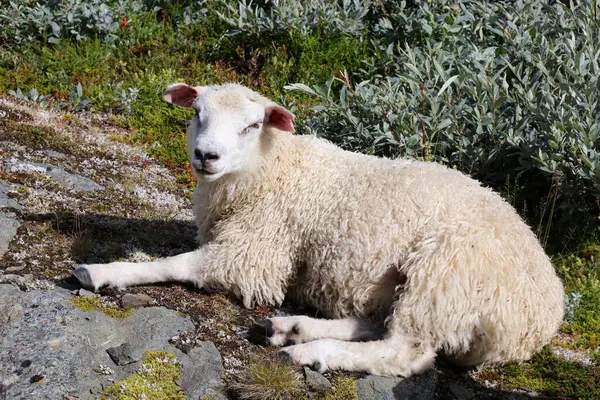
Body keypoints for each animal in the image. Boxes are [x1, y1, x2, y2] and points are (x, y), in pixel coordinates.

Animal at [72, 82, 564, 378]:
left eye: (252, 125)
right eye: (196, 113)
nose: (205, 156)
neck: (271, 169)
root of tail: (542, 315)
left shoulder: (255, 254)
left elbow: (175, 263)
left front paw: (105, 271)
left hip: (443, 275)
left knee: (407, 351)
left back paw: (310, 351)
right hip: (410, 286)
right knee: (375, 324)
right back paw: (292, 328)